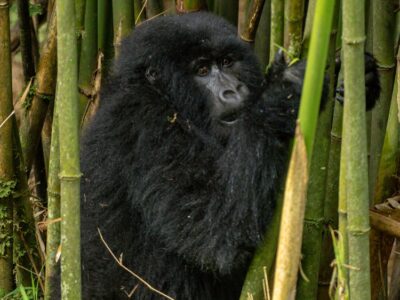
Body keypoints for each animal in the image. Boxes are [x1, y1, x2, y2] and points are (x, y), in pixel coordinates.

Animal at [79, 12, 380, 300]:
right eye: (201, 70)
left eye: (227, 62)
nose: (233, 90)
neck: (168, 98)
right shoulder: (146, 124)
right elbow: (216, 229)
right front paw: (286, 89)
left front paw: (357, 75)